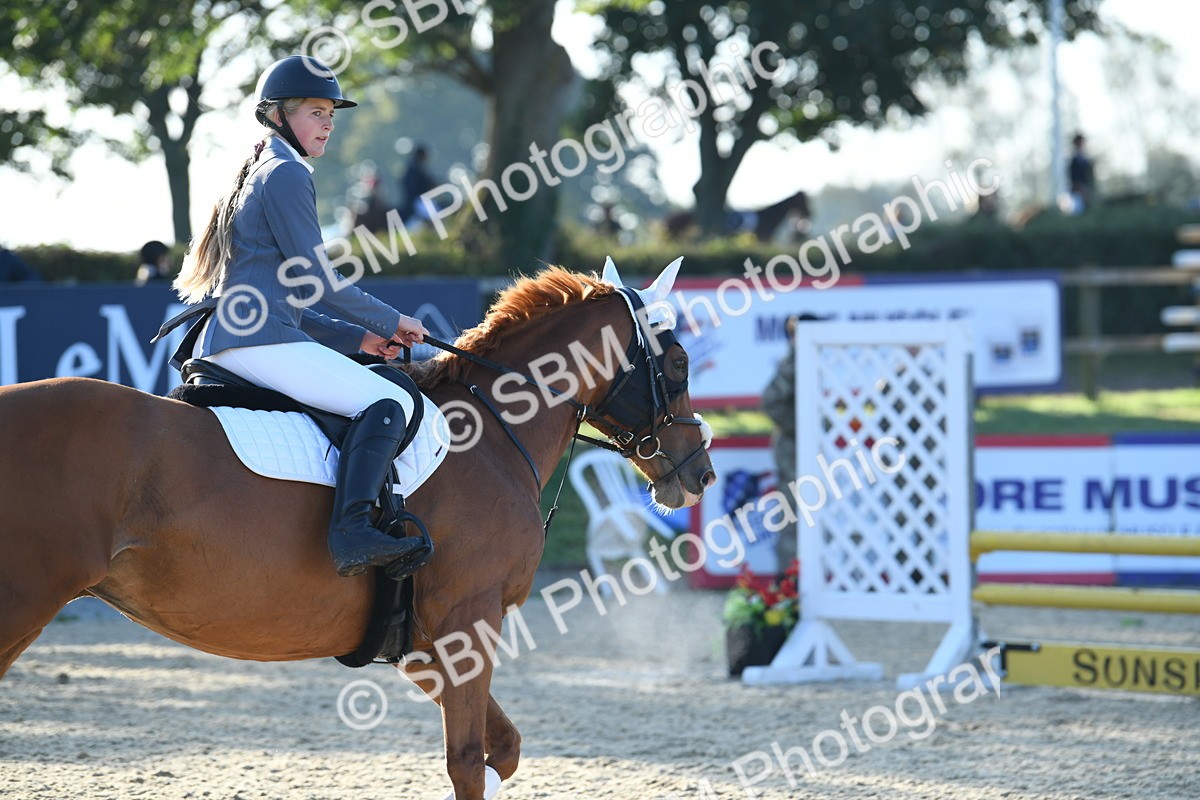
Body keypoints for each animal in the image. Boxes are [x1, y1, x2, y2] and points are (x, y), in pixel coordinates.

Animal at [0, 260, 716, 800]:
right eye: (678, 363)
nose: (701, 471)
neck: (491, 431)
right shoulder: (468, 618)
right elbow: (468, 761)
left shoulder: (421, 640)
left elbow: (503, 748)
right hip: (24, 603)